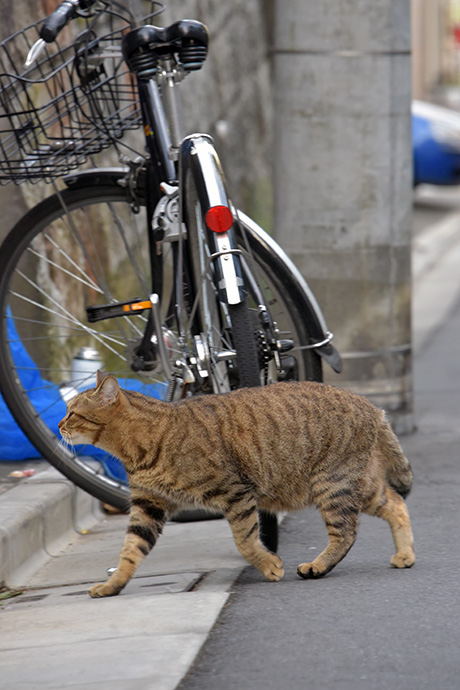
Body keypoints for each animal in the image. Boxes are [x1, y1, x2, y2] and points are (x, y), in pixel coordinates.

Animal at [58, 368, 416, 592]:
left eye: (72, 413)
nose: (59, 425)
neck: (138, 450)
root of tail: (372, 406)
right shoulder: (148, 506)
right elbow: (130, 550)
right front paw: (112, 585)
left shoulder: (236, 492)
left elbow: (244, 540)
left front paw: (270, 565)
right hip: (358, 485)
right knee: (396, 503)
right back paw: (405, 554)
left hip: (332, 484)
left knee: (346, 533)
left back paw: (318, 566)